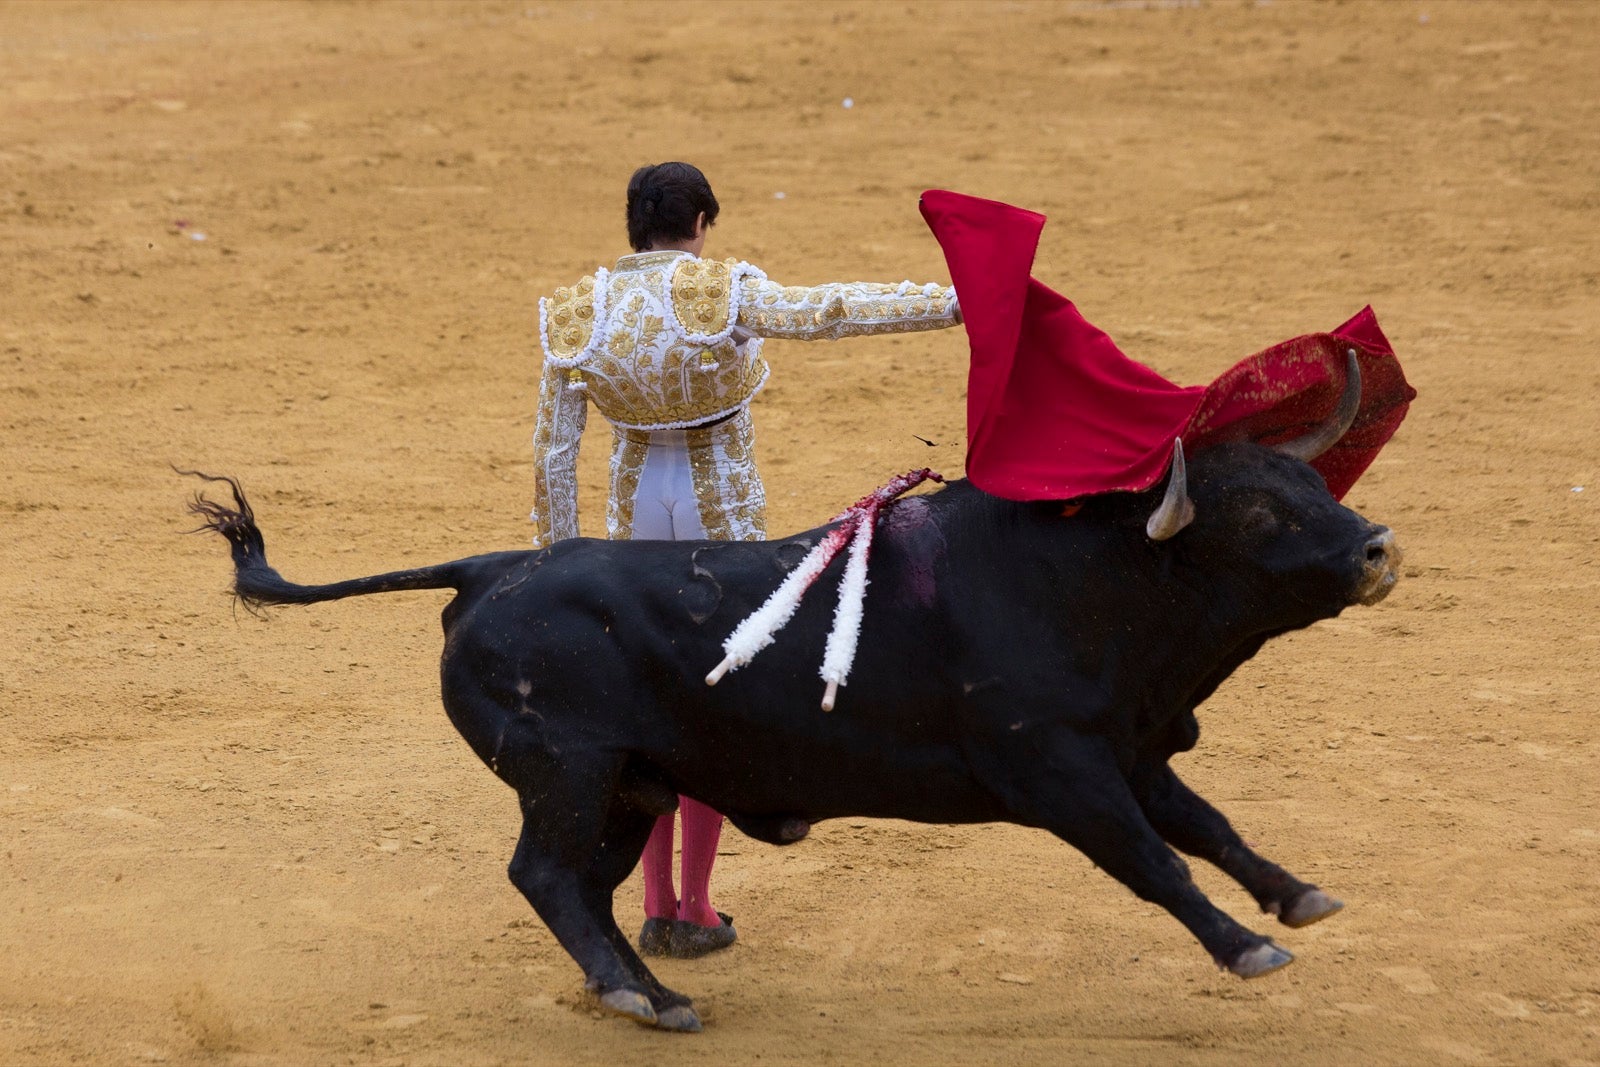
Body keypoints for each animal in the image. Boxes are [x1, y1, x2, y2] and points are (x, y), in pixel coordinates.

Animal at [187, 438, 1401, 1030]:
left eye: (1313, 479)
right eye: (1258, 510)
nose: (1380, 546)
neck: (1086, 577)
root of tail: (489, 567)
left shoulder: (1129, 749)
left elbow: (1210, 825)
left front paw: (1297, 896)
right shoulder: (1058, 768)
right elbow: (1156, 860)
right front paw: (1247, 947)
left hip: (629, 784)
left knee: (582, 886)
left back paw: (649, 989)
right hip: (569, 771)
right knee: (543, 872)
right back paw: (639, 994)